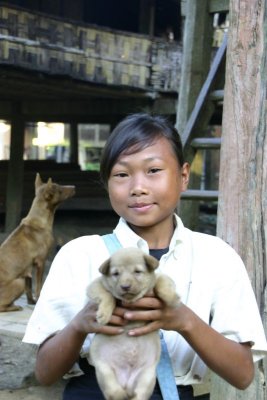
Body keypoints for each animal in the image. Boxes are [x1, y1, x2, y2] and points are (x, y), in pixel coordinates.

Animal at [0, 173, 75, 310]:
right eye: (59, 190)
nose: (74, 186)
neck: (39, 219)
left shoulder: (27, 269)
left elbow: (29, 290)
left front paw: (32, 302)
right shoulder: (41, 261)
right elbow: (39, 287)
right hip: (19, 282)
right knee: (2, 306)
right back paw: (14, 307)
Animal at [87, 247, 181, 400]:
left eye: (137, 271)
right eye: (115, 274)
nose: (125, 286)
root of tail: (126, 383)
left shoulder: (160, 278)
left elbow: (163, 285)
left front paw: (173, 299)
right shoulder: (96, 285)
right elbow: (107, 295)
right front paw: (104, 314)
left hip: (147, 377)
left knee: (140, 395)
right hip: (104, 371)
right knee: (113, 392)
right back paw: (121, 394)